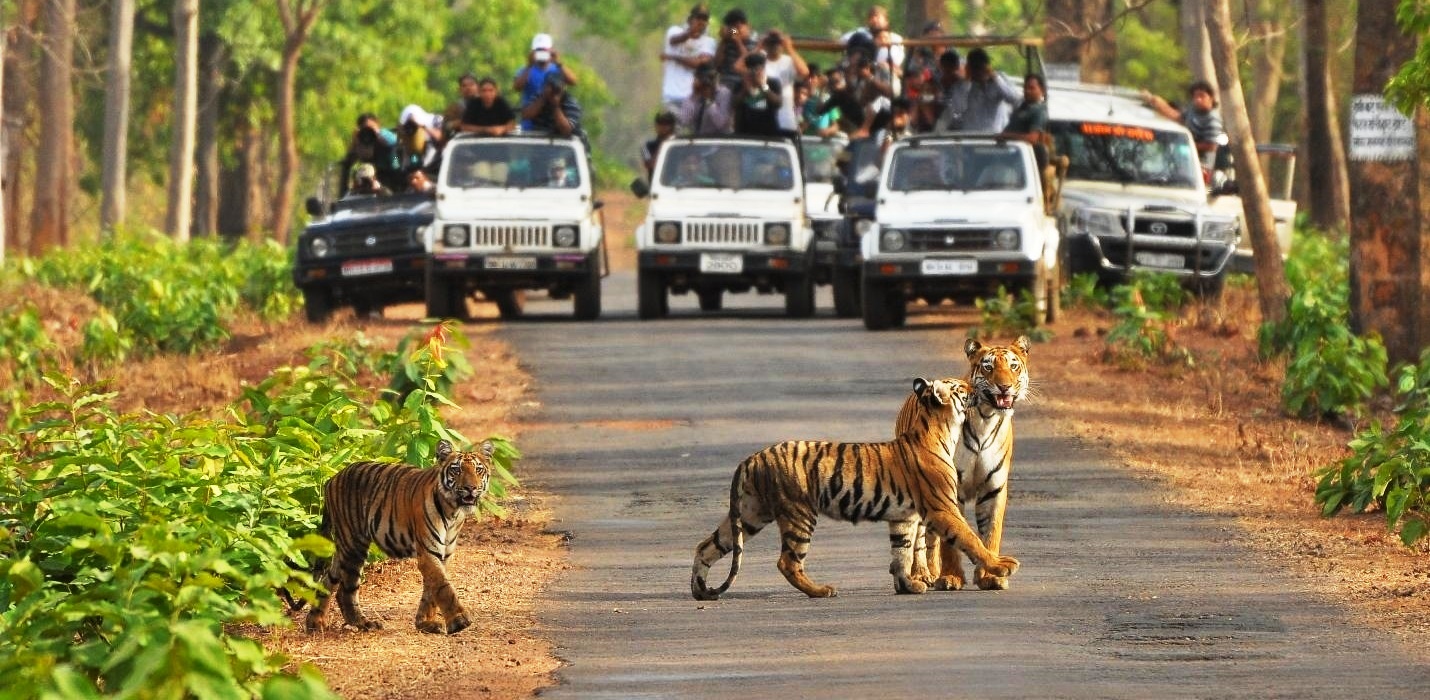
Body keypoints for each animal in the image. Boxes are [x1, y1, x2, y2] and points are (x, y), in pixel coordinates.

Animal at [301, 442, 491, 634]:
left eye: (478, 470)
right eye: (456, 470)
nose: (470, 488)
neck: (453, 511)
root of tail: (332, 479)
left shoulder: (444, 554)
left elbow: (431, 590)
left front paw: (425, 623)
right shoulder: (428, 552)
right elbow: (443, 586)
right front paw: (459, 621)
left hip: (345, 547)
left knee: (328, 579)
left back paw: (315, 622)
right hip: (354, 544)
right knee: (346, 590)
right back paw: (363, 623)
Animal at [689, 377, 1018, 602]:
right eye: (961, 387)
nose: (976, 387)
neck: (941, 429)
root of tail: (751, 458)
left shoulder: (904, 517)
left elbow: (902, 552)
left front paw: (907, 586)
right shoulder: (942, 508)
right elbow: (970, 539)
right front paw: (1002, 566)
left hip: (750, 514)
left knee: (706, 546)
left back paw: (700, 591)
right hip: (798, 513)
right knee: (787, 562)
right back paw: (821, 590)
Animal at [909, 334, 1035, 591]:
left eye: (1013, 366)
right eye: (988, 367)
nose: (1004, 386)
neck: (986, 418)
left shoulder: (994, 488)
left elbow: (990, 533)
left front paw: (990, 576)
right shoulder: (950, 489)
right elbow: (951, 540)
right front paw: (951, 577)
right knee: (920, 536)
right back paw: (923, 575)